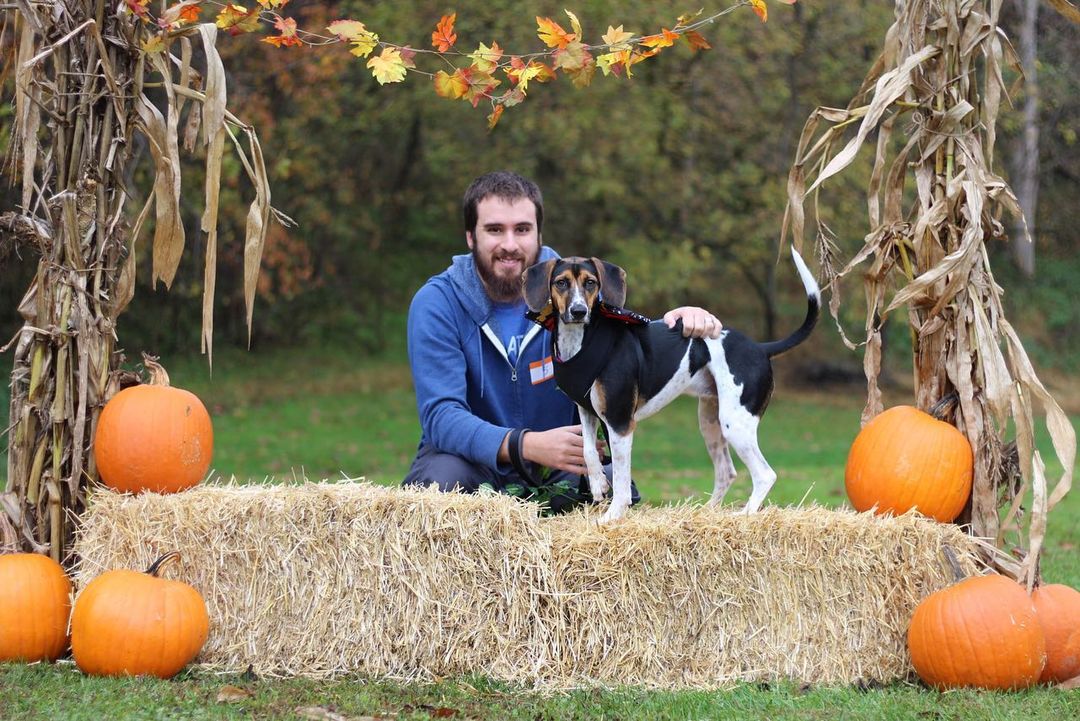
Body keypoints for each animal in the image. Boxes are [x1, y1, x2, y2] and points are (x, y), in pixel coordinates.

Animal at [522, 249, 816, 524]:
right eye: (561, 283)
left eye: (591, 283)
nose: (579, 311)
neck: (582, 340)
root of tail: (761, 348)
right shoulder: (586, 412)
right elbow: (588, 450)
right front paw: (597, 485)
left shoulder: (620, 424)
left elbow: (621, 481)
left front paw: (612, 515)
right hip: (711, 423)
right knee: (726, 472)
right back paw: (706, 513)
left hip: (736, 424)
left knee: (765, 475)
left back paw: (744, 514)